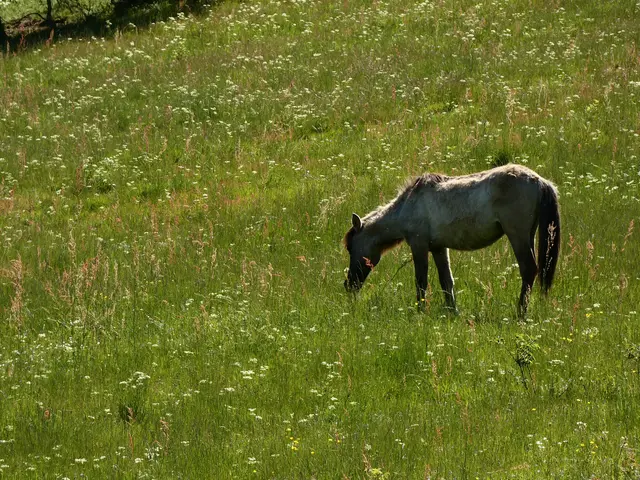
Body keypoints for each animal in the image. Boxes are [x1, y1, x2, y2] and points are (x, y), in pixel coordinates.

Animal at [343, 163, 560, 316]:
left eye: (350, 248)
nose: (348, 285)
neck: (409, 205)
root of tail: (540, 181)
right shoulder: (439, 248)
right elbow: (446, 281)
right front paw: (452, 312)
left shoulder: (419, 245)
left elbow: (421, 281)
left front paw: (420, 312)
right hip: (528, 235)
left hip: (518, 236)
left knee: (529, 270)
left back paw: (520, 313)